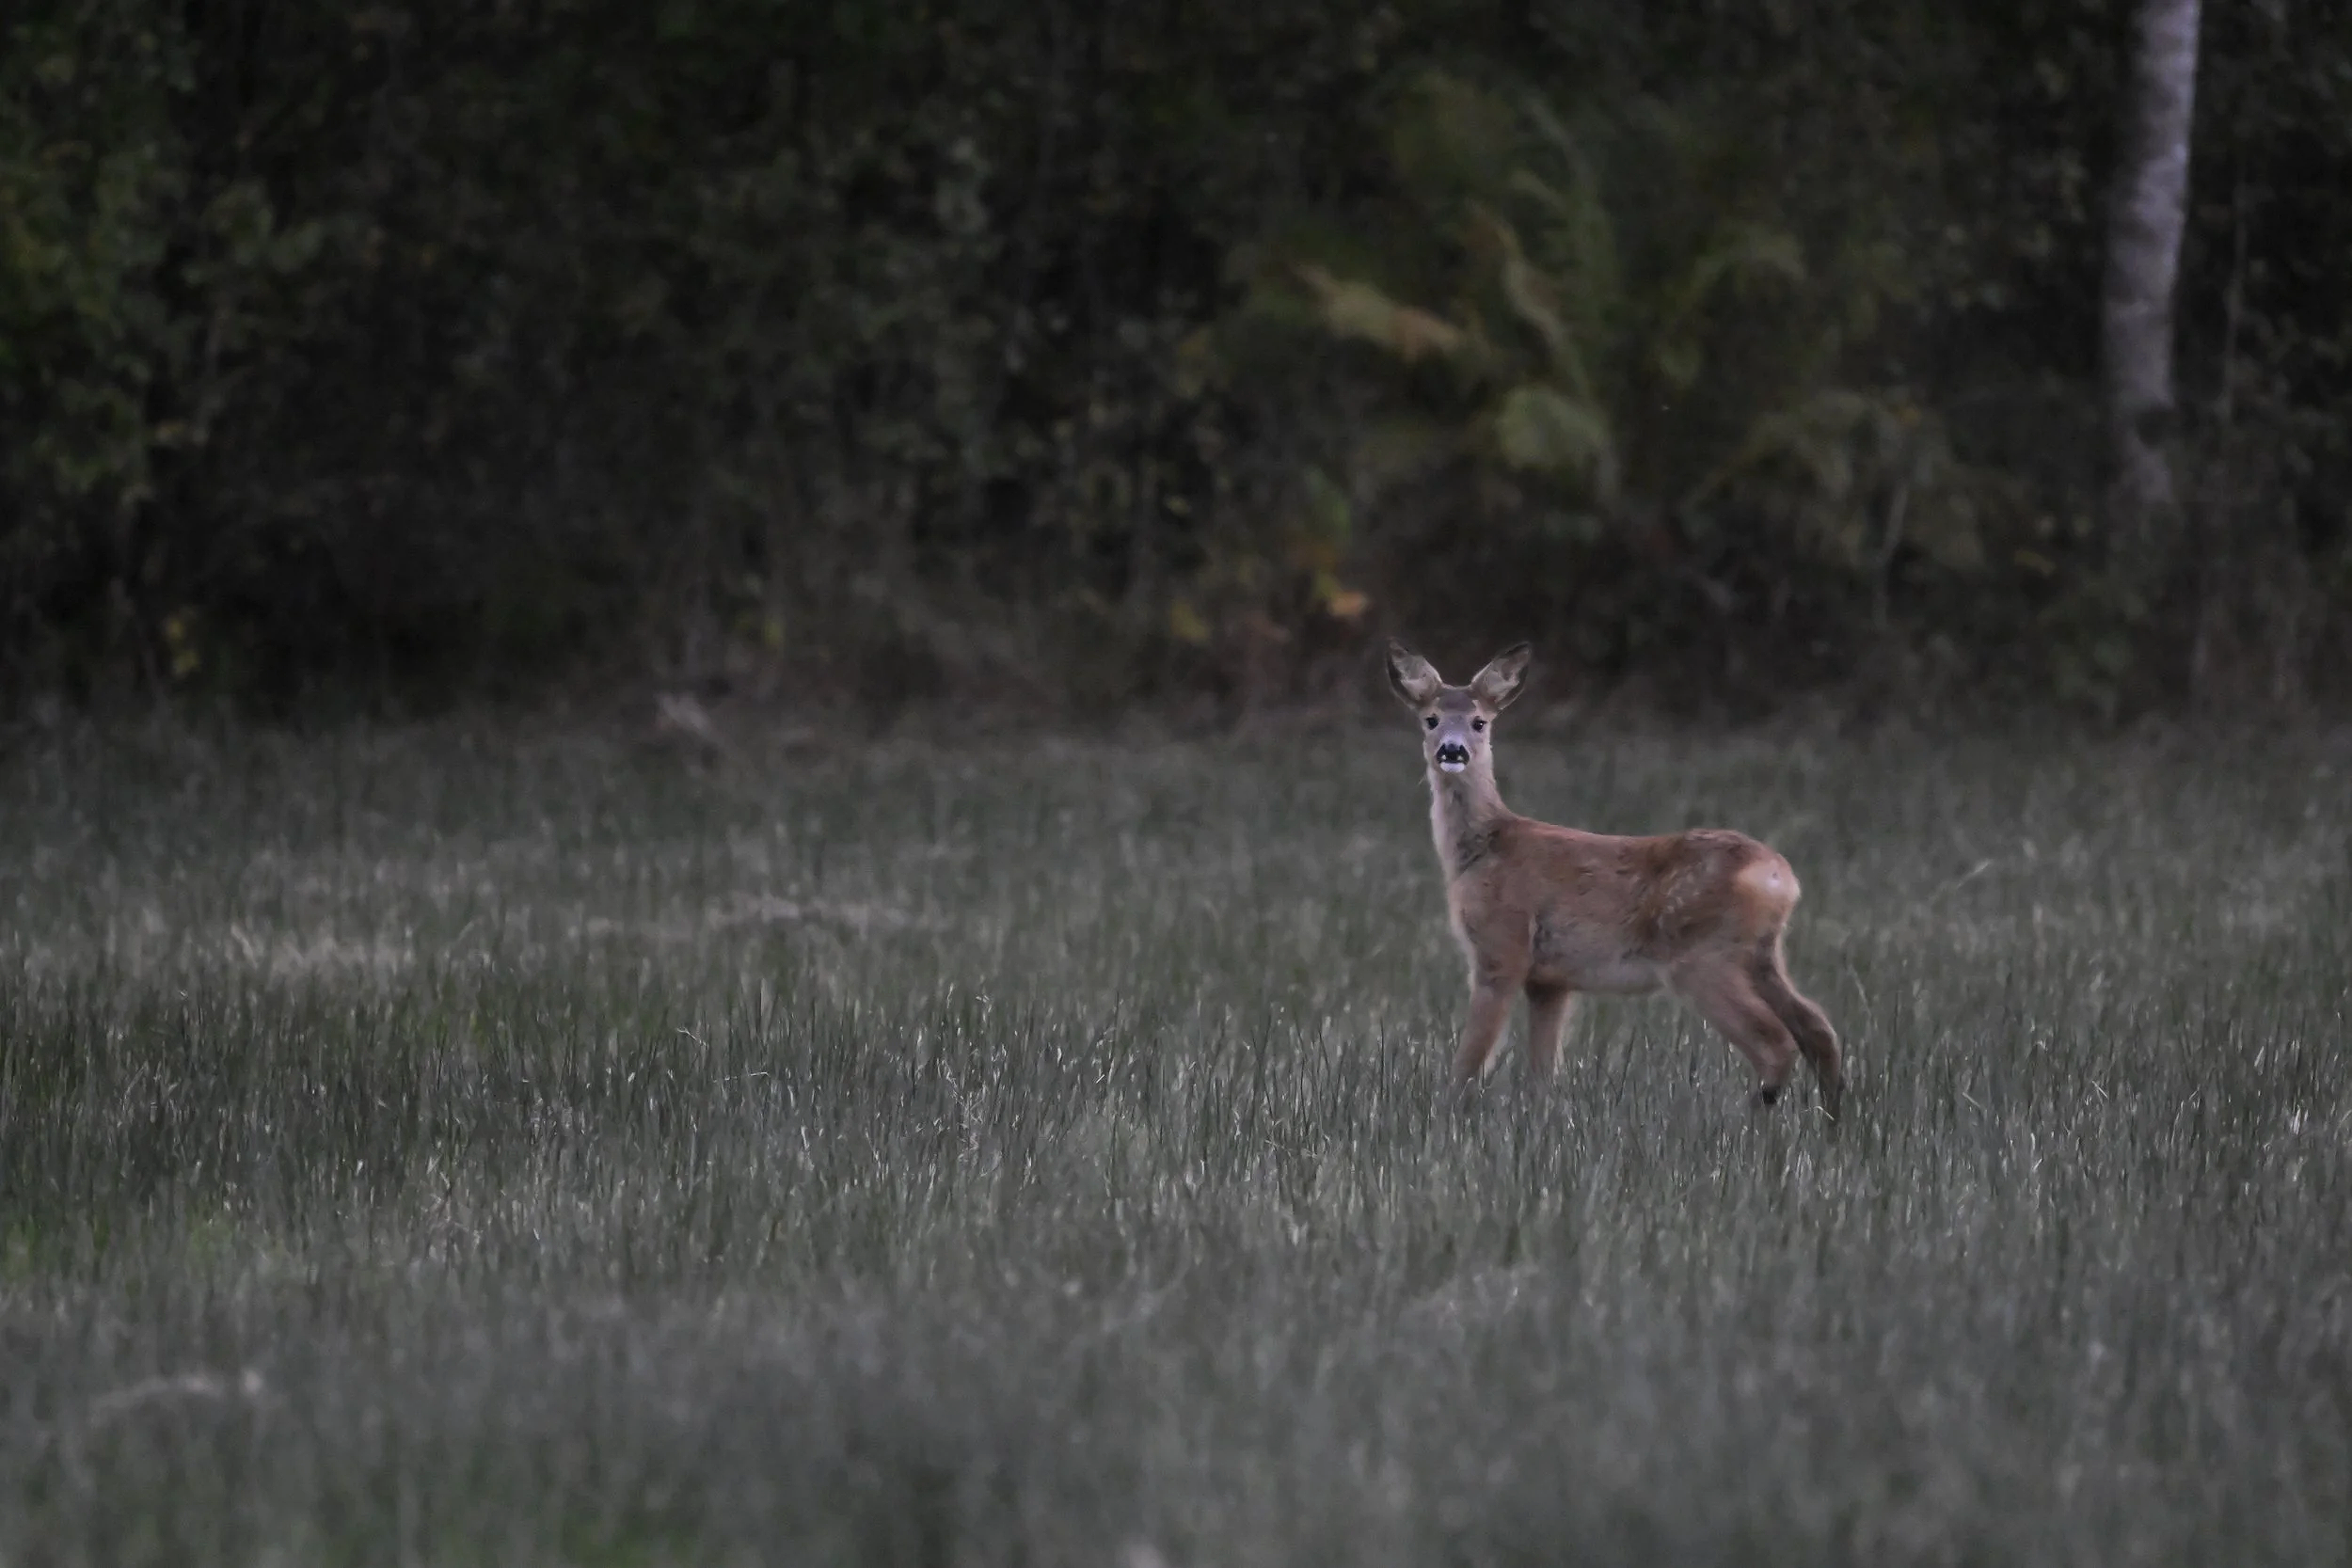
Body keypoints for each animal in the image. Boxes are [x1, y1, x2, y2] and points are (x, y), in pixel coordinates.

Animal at [1384, 640, 1844, 1118]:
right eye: (1431, 719)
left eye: (1480, 721)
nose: (1452, 750)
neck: (1483, 848)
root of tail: (1777, 876)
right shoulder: (1550, 980)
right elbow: (1543, 1072)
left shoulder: (1501, 947)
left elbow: (1471, 1058)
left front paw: (1444, 1112)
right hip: (1761, 953)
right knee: (1818, 1028)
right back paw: (1830, 1119)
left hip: (1701, 956)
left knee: (1775, 1041)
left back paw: (1752, 1115)